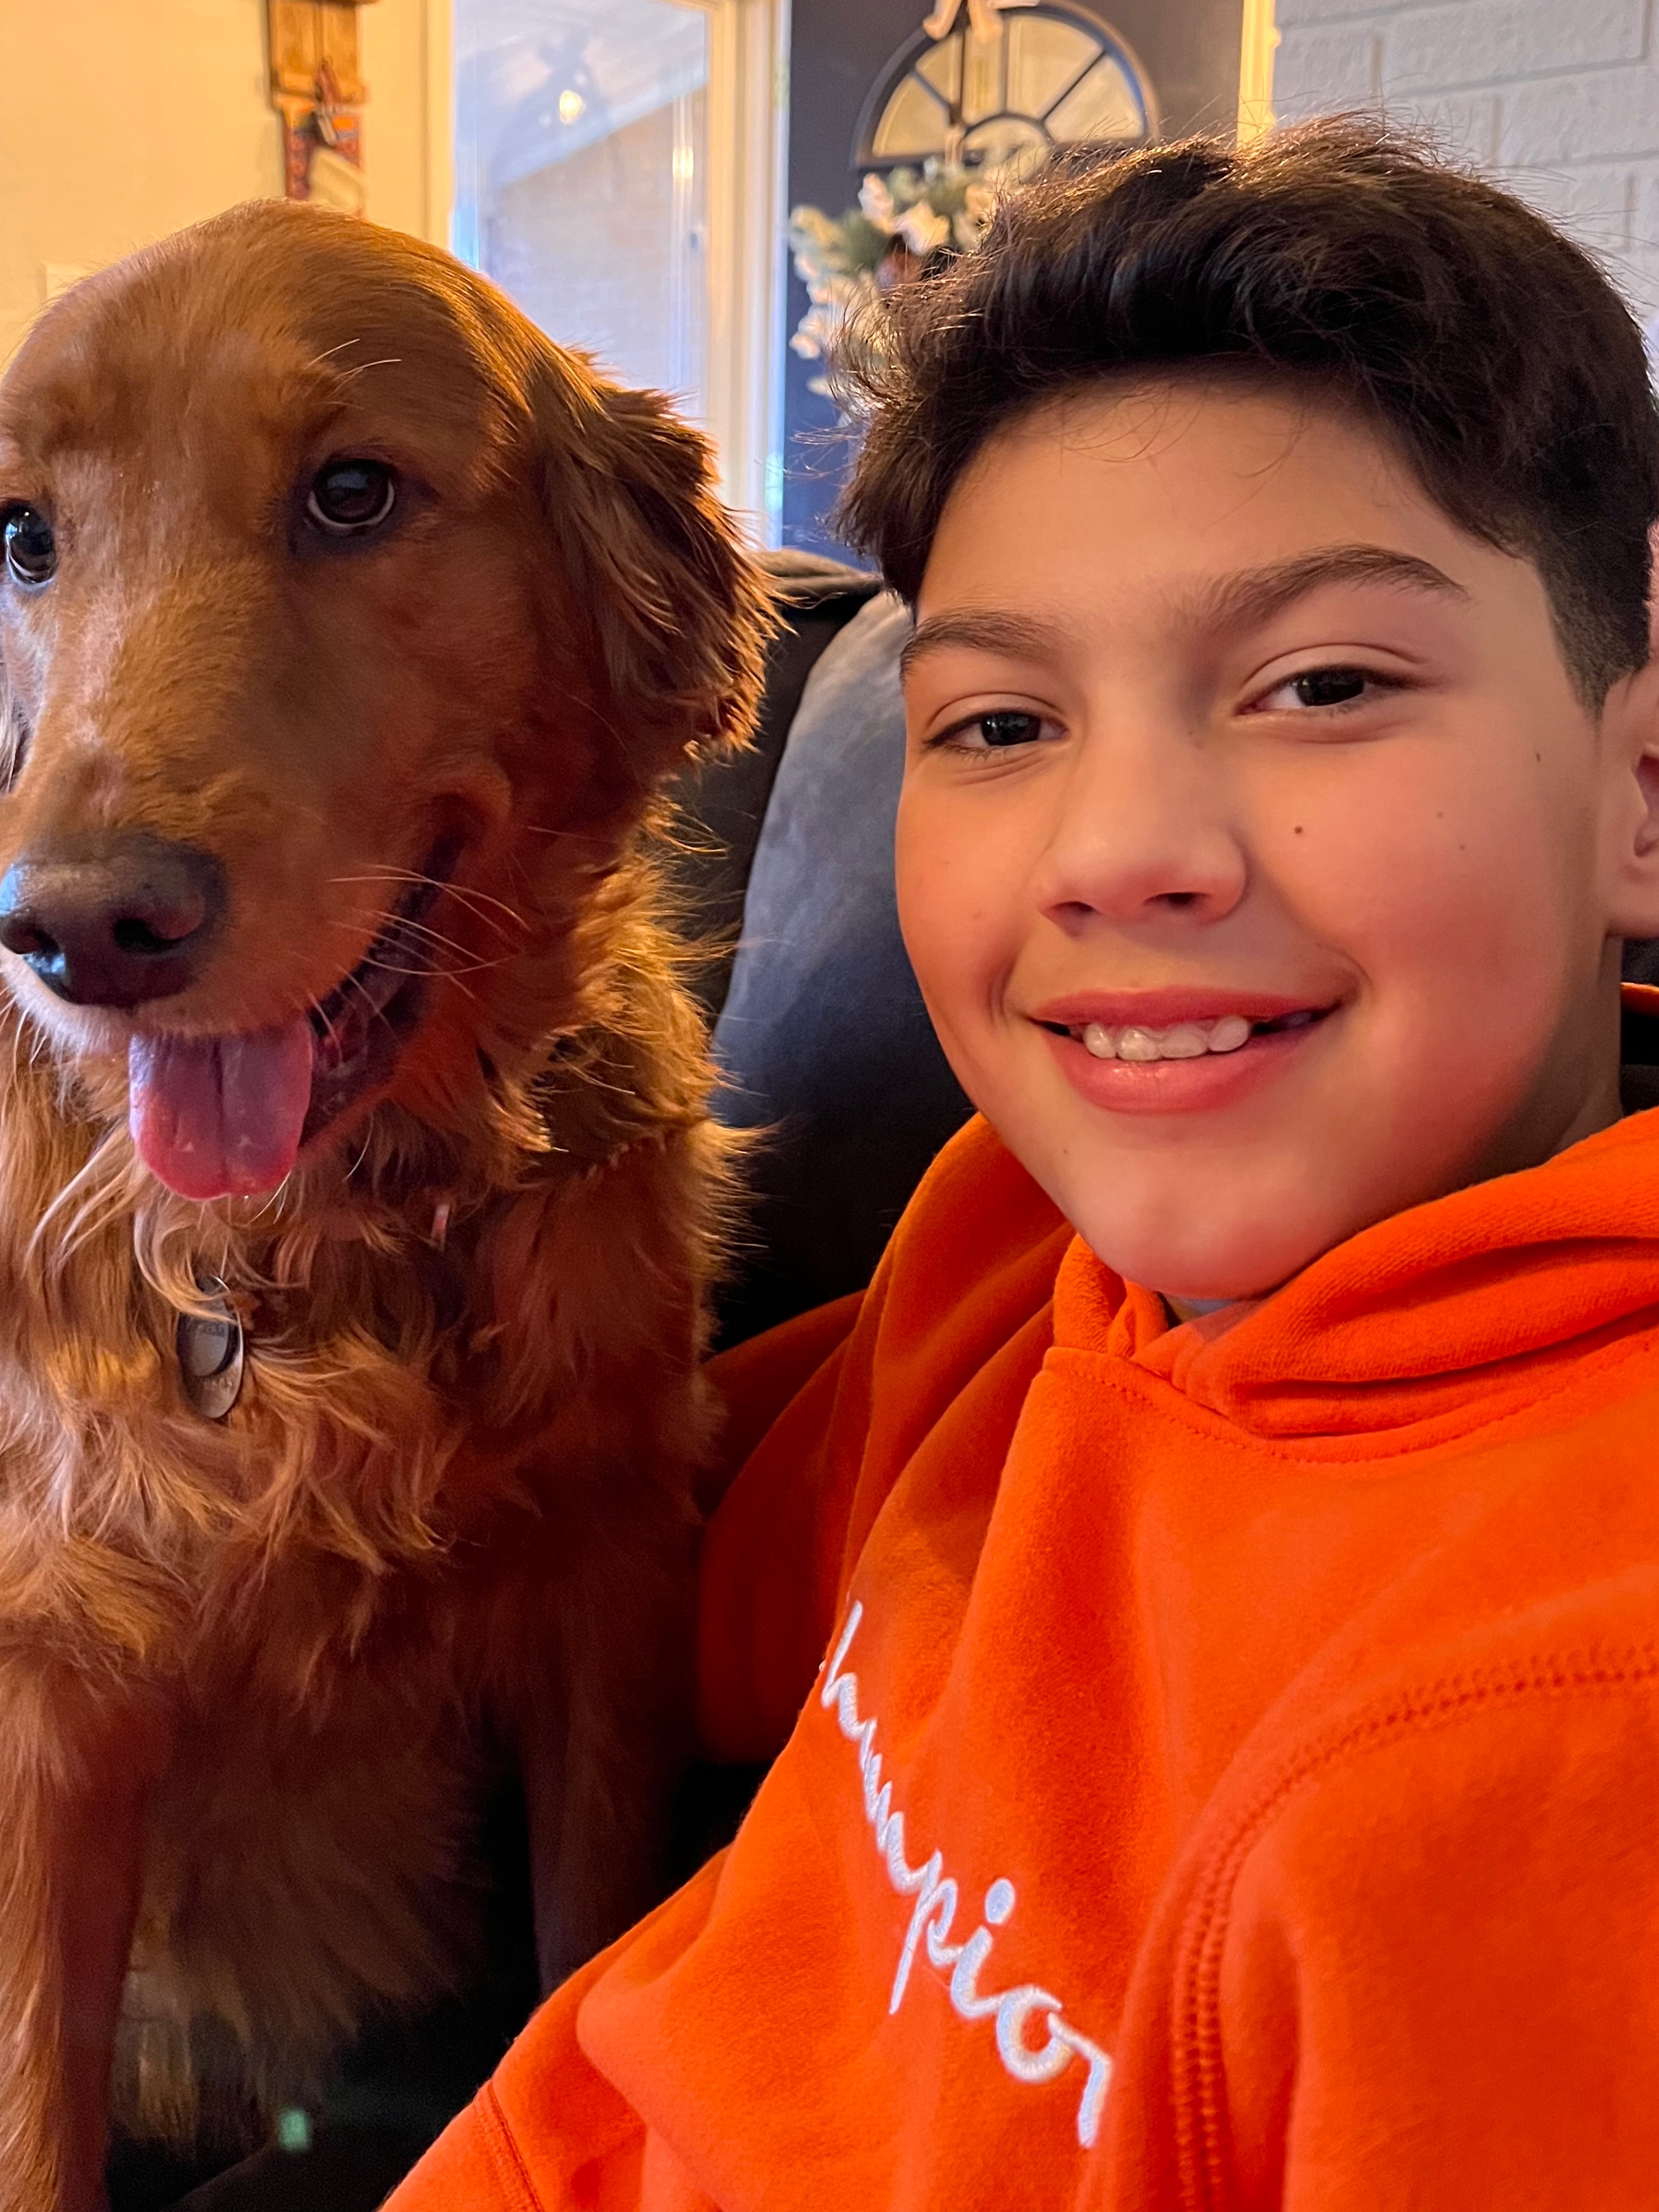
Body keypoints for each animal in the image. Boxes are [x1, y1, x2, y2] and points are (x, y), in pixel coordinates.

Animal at [0, 200, 767, 2207]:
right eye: (24, 539)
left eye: (353, 494)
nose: (75, 930)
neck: (317, 1245)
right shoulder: (53, 1686)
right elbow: (37, 2108)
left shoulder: (605, 1570)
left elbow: (586, 1940)